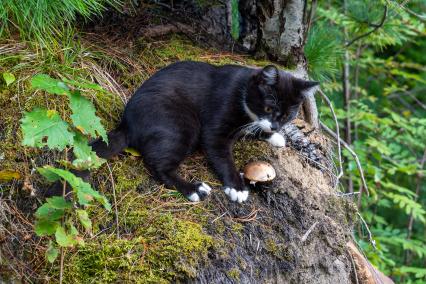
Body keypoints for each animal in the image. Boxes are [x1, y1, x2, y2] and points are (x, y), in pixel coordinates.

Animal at [90, 60, 316, 202]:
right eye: (269, 108)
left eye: (287, 115)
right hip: (181, 124)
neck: (243, 93)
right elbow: (222, 156)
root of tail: (126, 124)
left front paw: (275, 136)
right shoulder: (215, 127)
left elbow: (254, 128)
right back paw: (194, 189)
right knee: (158, 165)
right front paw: (236, 187)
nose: (276, 126)